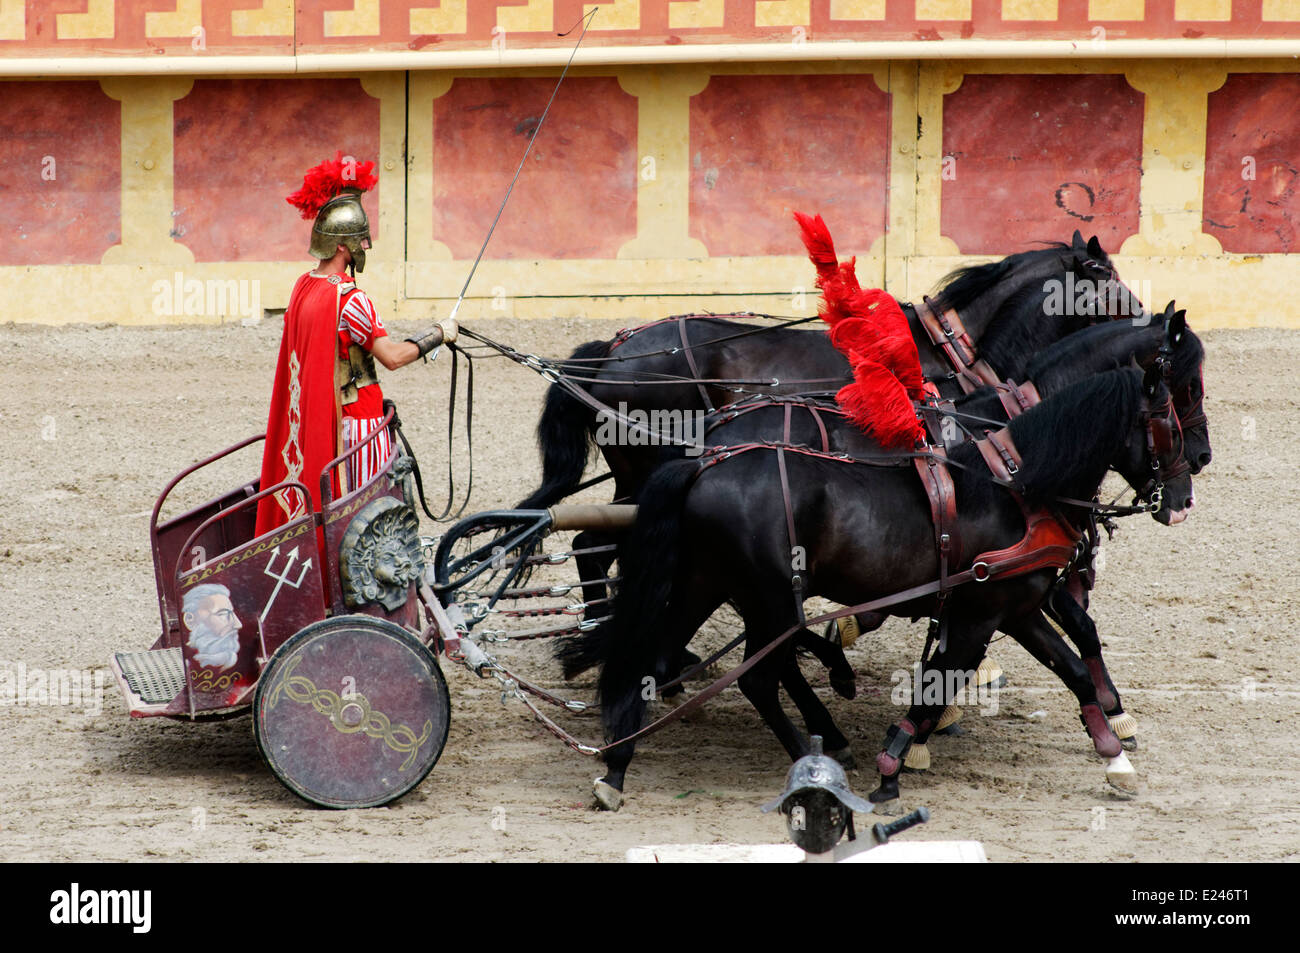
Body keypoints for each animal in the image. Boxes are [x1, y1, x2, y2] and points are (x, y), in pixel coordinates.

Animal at [556, 369, 1190, 806]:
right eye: (1170, 419)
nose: (1183, 495)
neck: (1016, 491)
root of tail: (705, 462)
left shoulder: (1016, 610)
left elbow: (1073, 668)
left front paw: (1113, 755)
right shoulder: (979, 617)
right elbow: (935, 690)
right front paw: (892, 767)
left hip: (702, 585)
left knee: (653, 661)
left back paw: (616, 769)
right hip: (770, 600)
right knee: (759, 677)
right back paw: (814, 765)